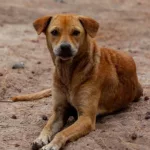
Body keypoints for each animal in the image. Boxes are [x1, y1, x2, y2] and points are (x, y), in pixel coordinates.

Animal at [11, 14, 142, 150]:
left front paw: (52, 145)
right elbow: (47, 127)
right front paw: (40, 138)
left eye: (76, 32)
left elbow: (62, 132)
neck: (68, 73)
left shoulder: (86, 118)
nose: (65, 47)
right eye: (54, 32)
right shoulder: (59, 111)